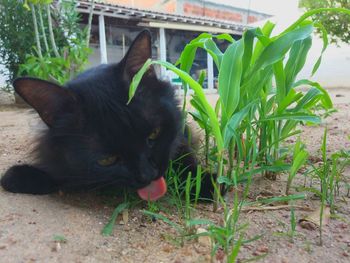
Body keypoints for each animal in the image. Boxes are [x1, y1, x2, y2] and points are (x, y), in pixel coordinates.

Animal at [0, 29, 213, 201]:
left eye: (154, 134)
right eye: (106, 160)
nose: (147, 175)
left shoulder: (180, 131)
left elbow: (184, 155)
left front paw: (205, 185)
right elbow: (63, 174)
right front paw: (21, 177)